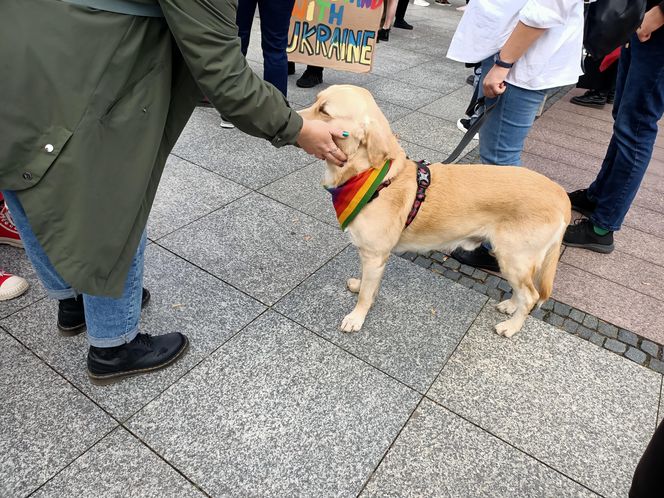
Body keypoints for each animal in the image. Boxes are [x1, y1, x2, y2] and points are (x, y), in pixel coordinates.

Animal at [300, 84, 572, 338]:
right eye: (316, 101)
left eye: (324, 111)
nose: (298, 121)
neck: (373, 177)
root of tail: (562, 196)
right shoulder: (373, 255)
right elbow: (368, 284)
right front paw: (360, 285)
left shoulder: (374, 254)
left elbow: (365, 296)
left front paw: (357, 317)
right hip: (515, 259)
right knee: (524, 291)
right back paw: (510, 306)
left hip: (513, 257)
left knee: (531, 296)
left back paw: (511, 326)